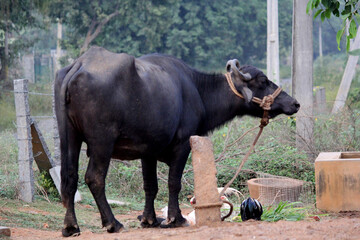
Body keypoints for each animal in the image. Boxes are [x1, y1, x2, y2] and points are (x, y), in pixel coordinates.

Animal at [54, 46, 300, 236]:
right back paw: (113, 223)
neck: (198, 91)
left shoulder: (148, 151)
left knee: (69, 177)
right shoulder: (182, 145)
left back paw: (71, 227)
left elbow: (150, 185)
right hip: (102, 141)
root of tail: (79, 65)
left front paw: (150, 220)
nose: (294, 103)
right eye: (263, 80)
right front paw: (175, 218)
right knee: (94, 178)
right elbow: (174, 182)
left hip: (68, 135)